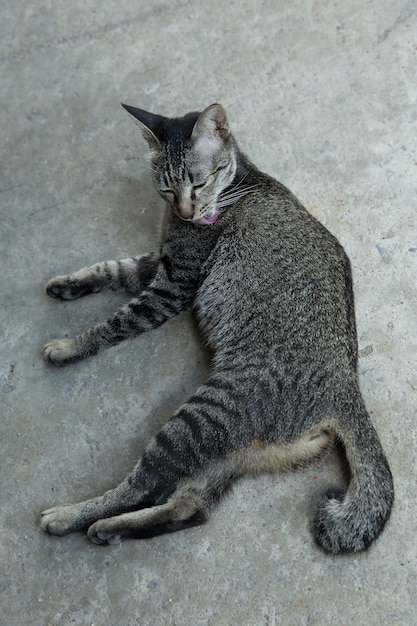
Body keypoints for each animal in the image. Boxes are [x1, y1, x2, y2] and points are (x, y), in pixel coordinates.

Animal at [39, 101, 394, 552]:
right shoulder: (159, 261)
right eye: (166, 189)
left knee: (146, 485)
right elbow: (112, 268)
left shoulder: (174, 283)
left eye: (199, 181)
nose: (186, 211)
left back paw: (73, 515)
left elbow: (116, 322)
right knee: (191, 508)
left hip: (203, 417)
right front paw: (68, 283)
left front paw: (70, 345)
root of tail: (347, 389)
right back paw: (112, 528)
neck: (240, 179)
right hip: (231, 451)